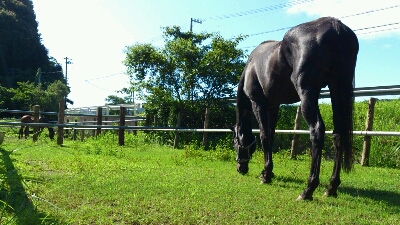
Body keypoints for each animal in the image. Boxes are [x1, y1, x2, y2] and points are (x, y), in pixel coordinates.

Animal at [228, 17, 360, 200]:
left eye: (234, 142)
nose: (240, 168)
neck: (251, 67)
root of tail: (336, 26)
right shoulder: (273, 106)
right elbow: (271, 135)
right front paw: (268, 172)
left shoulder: (258, 103)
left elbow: (264, 136)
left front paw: (266, 175)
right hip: (338, 90)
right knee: (338, 134)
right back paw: (331, 187)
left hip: (307, 94)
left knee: (317, 130)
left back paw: (308, 189)